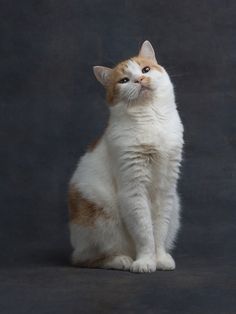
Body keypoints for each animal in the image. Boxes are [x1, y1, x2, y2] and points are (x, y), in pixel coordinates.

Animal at [68, 41, 184, 272]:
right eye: (124, 80)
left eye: (145, 70)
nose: (140, 80)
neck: (151, 118)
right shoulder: (133, 190)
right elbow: (145, 232)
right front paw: (146, 262)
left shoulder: (166, 190)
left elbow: (159, 230)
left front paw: (160, 259)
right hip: (101, 218)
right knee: (88, 258)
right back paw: (122, 260)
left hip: (175, 208)